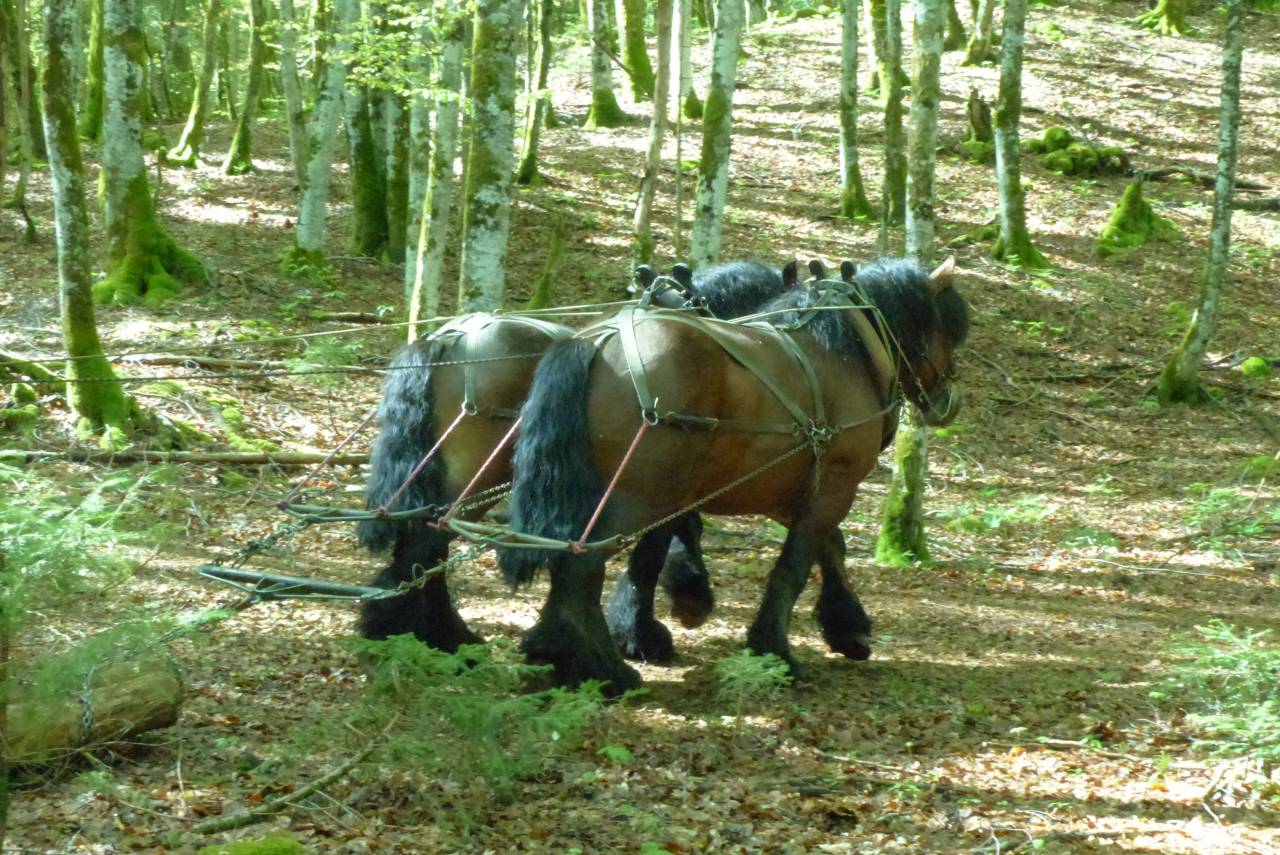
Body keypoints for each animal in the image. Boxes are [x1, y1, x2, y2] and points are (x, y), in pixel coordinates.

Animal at [499, 257, 969, 693]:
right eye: (950, 331)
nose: (949, 402)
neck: (845, 352)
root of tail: (596, 341)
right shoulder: (834, 486)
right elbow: (794, 566)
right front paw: (773, 650)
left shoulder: (784, 490)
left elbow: (828, 548)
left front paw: (846, 628)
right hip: (632, 496)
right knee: (581, 564)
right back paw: (603, 669)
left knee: (563, 557)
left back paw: (552, 647)